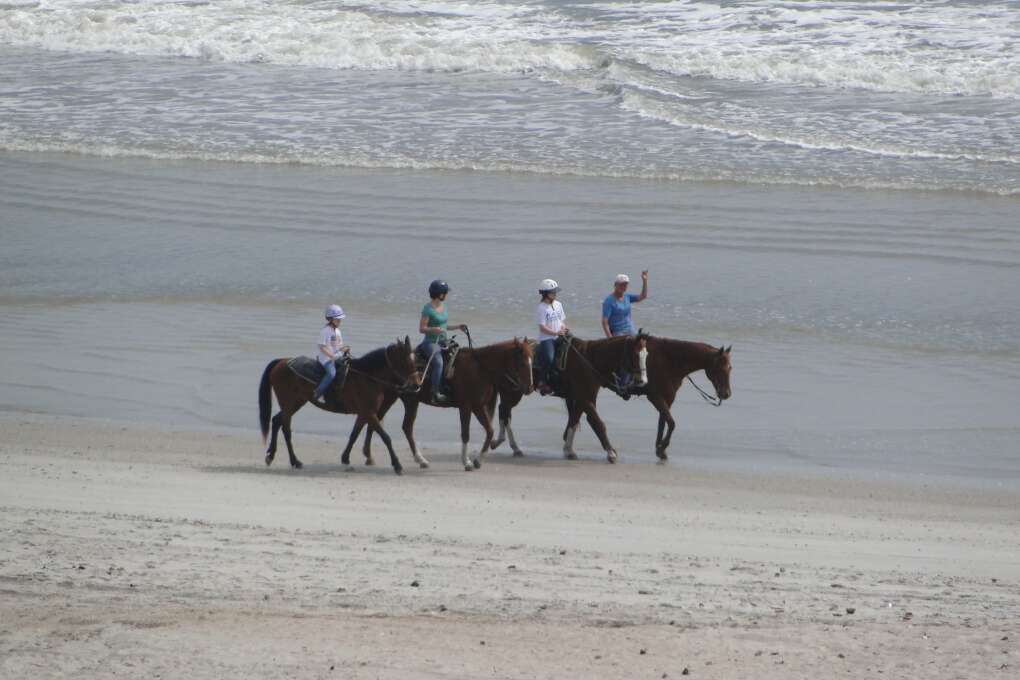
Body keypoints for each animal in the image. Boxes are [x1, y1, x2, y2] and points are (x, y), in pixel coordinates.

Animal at [263, 338, 426, 477]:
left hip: (295, 403)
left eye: (415, 361)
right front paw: (397, 465)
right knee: (286, 429)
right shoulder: (370, 413)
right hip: (289, 404)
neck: (367, 377)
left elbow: (354, 435)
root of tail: (281, 361)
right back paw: (294, 461)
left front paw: (345, 459)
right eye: (405, 362)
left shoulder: (364, 414)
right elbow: (386, 437)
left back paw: (272, 456)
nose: (417, 385)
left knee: (277, 421)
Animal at [354, 338, 538, 471]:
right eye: (522, 362)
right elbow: (465, 434)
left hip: (407, 400)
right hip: (393, 398)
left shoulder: (478, 407)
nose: (529, 387)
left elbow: (490, 431)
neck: (479, 369)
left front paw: (478, 460)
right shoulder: (466, 407)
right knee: (379, 420)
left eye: (533, 360)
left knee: (397, 425)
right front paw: (466, 462)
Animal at [491, 334, 648, 464]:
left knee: (504, 411)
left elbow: (574, 420)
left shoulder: (583, 398)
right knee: (504, 411)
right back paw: (509, 445)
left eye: (646, 354)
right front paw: (611, 453)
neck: (588, 360)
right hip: (514, 392)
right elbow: (597, 423)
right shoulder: (585, 399)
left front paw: (569, 450)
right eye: (635, 355)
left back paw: (506, 444)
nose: (643, 381)